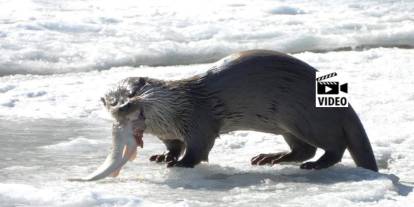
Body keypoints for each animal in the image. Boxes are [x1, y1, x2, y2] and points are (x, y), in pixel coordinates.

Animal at [73, 49, 376, 180]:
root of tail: (345, 107)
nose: (124, 107)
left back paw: (314, 165)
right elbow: (173, 145)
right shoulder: (168, 133)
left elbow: (198, 148)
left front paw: (181, 164)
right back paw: (270, 158)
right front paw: (163, 157)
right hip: (288, 125)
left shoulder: (198, 121)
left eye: (133, 92)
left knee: (333, 146)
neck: (173, 111)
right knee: (303, 149)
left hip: (306, 117)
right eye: (112, 101)